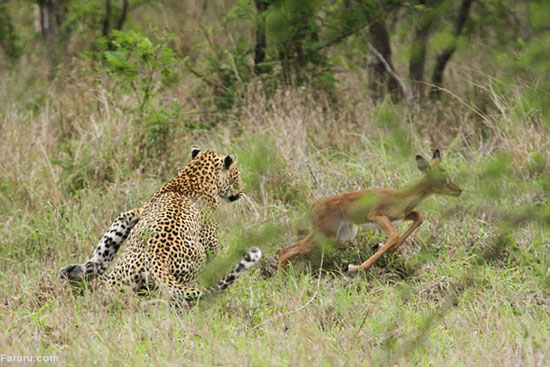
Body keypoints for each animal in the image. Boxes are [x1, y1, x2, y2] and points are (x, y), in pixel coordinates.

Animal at [60, 147, 264, 304]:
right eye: (237, 175)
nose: (242, 191)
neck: (194, 174)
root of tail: (158, 259)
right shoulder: (209, 238)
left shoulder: (134, 213)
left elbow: (109, 241)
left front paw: (82, 269)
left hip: (121, 285)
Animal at [278, 150, 464, 274]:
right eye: (443, 180)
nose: (459, 190)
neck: (400, 197)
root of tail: (314, 205)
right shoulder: (377, 216)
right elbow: (394, 235)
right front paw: (353, 267)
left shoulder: (402, 216)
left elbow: (419, 217)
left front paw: (382, 246)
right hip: (325, 235)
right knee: (286, 250)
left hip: (339, 235)